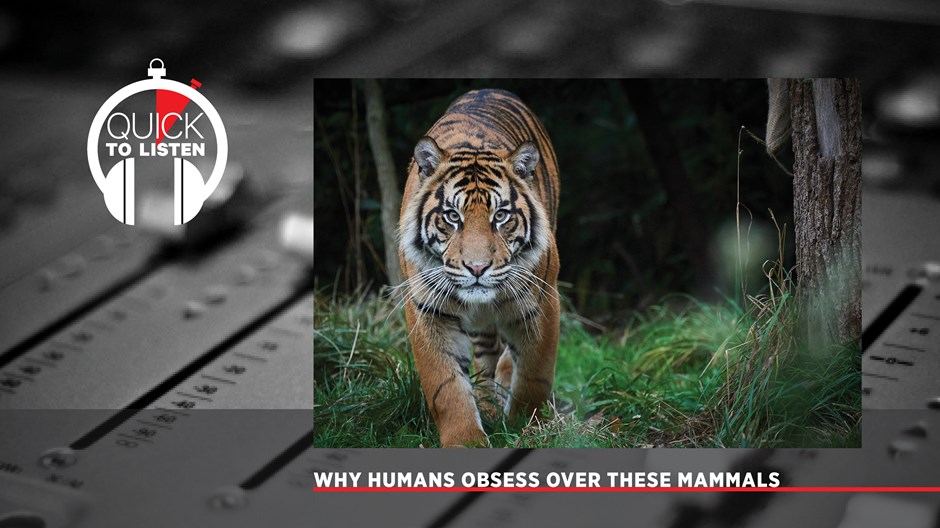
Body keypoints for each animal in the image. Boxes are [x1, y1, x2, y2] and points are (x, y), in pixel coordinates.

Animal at [397, 89, 560, 447]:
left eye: (500, 216)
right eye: (452, 216)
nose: (477, 268)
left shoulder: (542, 303)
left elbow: (534, 375)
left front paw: (526, 427)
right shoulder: (429, 311)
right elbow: (446, 386)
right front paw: (466, 441)